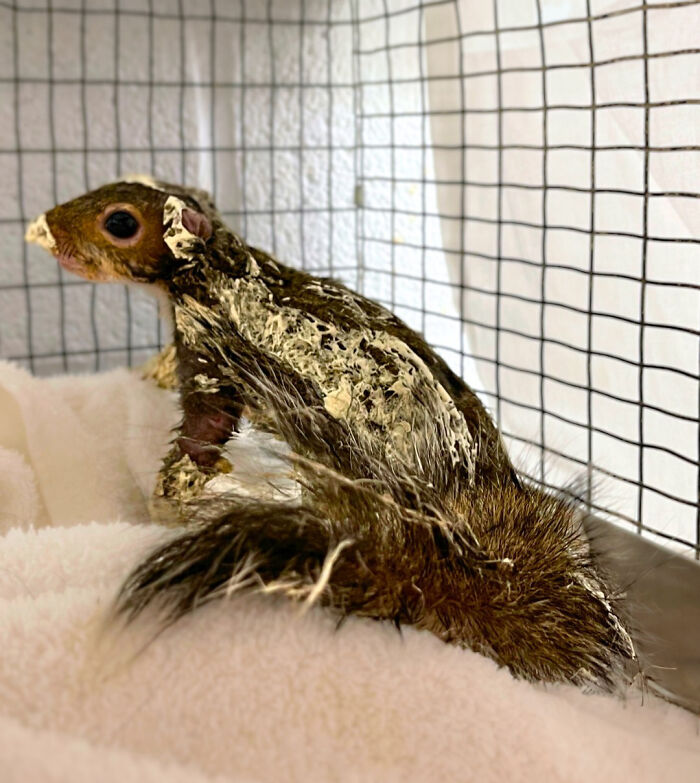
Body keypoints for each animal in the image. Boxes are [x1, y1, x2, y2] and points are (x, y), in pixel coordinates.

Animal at [26, 176, 637, 689]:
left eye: (119, 221)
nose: (46, 223)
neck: (223, 267)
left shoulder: (211, 357)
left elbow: (200, 437)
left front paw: (165, 500)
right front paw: (146, 373)